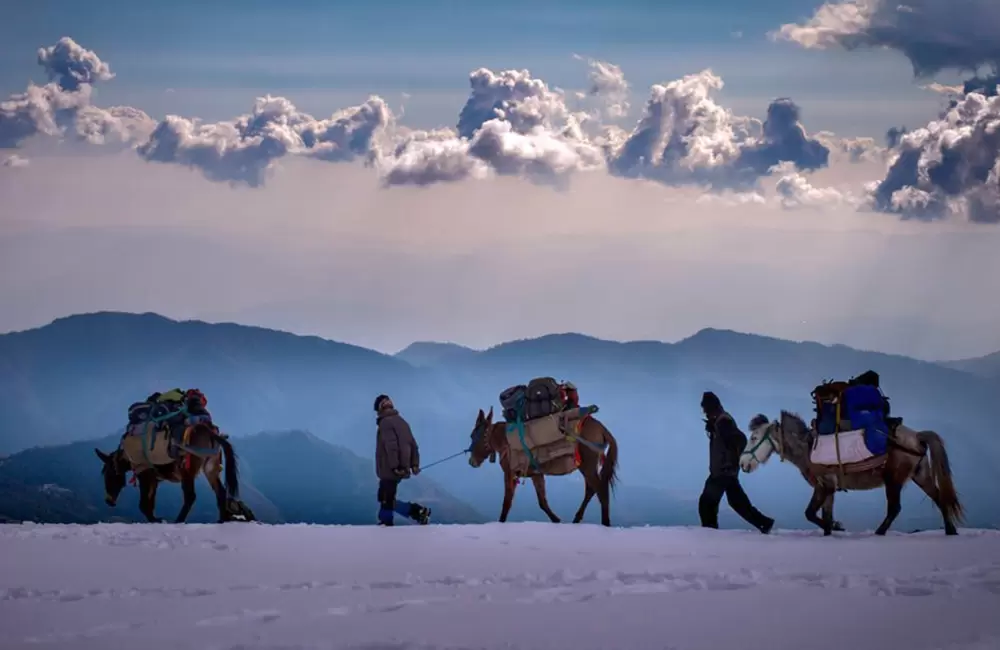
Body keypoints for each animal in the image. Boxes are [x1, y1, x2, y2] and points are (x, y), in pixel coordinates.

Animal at [94, 390, 254, 520]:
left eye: (108, 473)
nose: (108, 501)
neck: (127, 454)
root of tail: (207, 429)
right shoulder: (154, 479)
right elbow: (150, 503)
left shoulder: (144, 472)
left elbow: (144, 505)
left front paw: (157, 520)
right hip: (211, 467)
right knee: (220, 493)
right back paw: (221, 520)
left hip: (188, 469)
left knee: (190, 497)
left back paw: (179, 520)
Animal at [466, 378, 616, 524]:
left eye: (474, 435)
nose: (472, 462)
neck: (504, 440)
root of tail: (601, 428)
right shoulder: (536, 475)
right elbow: (542, 501)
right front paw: (556, 520)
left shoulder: (509, 473)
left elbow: (507, 502)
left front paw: (501, 523)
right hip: (586, 467)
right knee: (591, 490)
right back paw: (577, 519)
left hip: (588, 466)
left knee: (601, 491)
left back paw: (605, 523)